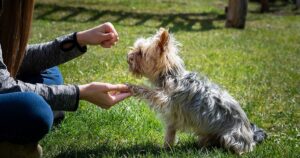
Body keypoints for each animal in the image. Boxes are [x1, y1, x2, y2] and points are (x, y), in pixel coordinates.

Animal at [126, 28, 268, 154]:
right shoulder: (172, 117)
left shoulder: (166, 98)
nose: (127, 57)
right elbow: (170, 133)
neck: (170, 74)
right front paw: (166, 148)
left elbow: (150, 92)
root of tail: (252, 135)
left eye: (140, 52)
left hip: (231, 137)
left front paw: (132, 86)